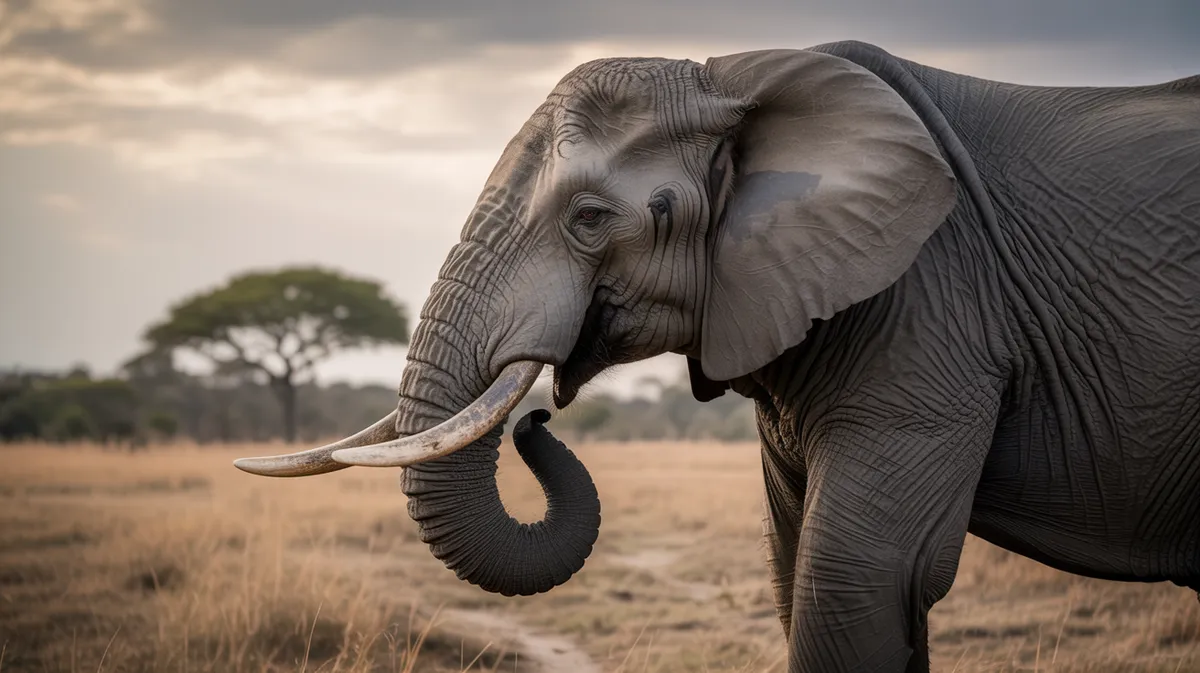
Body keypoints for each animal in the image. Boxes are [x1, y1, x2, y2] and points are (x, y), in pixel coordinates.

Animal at [234, 40, 1200, 672]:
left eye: (590, 219)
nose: (538, 416)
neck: (735, 82)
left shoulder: (932, 310)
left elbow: (856, 579)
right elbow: (794, 570)